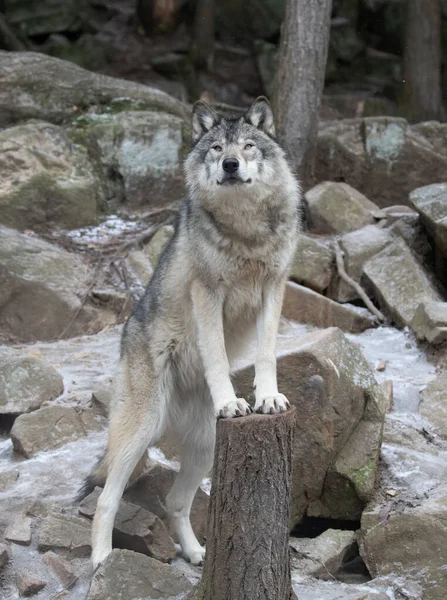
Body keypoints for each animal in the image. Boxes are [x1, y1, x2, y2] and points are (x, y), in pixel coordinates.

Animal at [80, 97, 302, 568]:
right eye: (217, 147)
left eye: (248, 145)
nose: (231, 164)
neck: (246, 230)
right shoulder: (208, 293)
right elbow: (216, 352)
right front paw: (231, 401)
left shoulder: (274, 287)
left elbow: (268, 352)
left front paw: (267, 398)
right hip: (139, 433)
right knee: (106, 499)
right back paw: (103, 561)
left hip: (204, 448)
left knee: (176, 502)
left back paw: (197, 553)